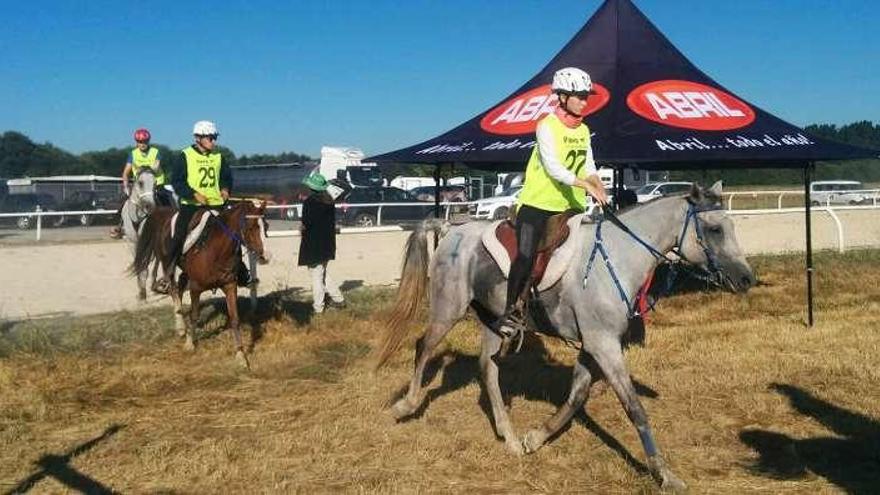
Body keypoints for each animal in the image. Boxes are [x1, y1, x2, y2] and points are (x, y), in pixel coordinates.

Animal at [121, 168, 159, 298]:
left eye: (155, 183)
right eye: (140, 183)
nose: (150, 207)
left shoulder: (147, 243)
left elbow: (145, 266)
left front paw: (143, 293)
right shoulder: (132, 243)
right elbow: (138, 263)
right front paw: (141, 290)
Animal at [129, 202, 270, 368]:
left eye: (265, 226)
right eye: (250, 227)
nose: (266, 256)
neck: (216, 251)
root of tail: (165, 213)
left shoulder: (230, 285)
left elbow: (235, 318)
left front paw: (241, 355)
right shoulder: (196, 288)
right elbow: (194, 315)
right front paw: (190, 344)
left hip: (185, 273)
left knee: (180, 286)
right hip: (167, 265)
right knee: (174, 291)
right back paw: (181, 327)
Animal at [378, 183, 756, 495]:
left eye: (732, 226)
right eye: (715, 229)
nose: (746, 278)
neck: (617, 258)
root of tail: (452, 230)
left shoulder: (593, 345)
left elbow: (576, 397)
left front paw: (535, 438)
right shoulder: (604, 346)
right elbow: (635, 408)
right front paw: (665, 475)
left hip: (493, 320)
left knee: (488, 368)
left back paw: (509, 437)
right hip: (449, 308)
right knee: (424, 347)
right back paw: (405, 406)